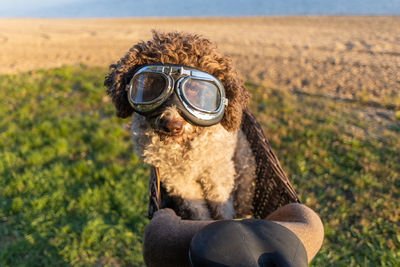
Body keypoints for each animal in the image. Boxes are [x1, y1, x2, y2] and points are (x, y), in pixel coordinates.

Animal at [104, 30, 256, 221]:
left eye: (196, 89)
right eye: (151, 85)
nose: (171, 125)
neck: (183, 148)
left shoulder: (217, 171)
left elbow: (222, 205)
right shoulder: (177, 180)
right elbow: (198, 209)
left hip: (244, 165)